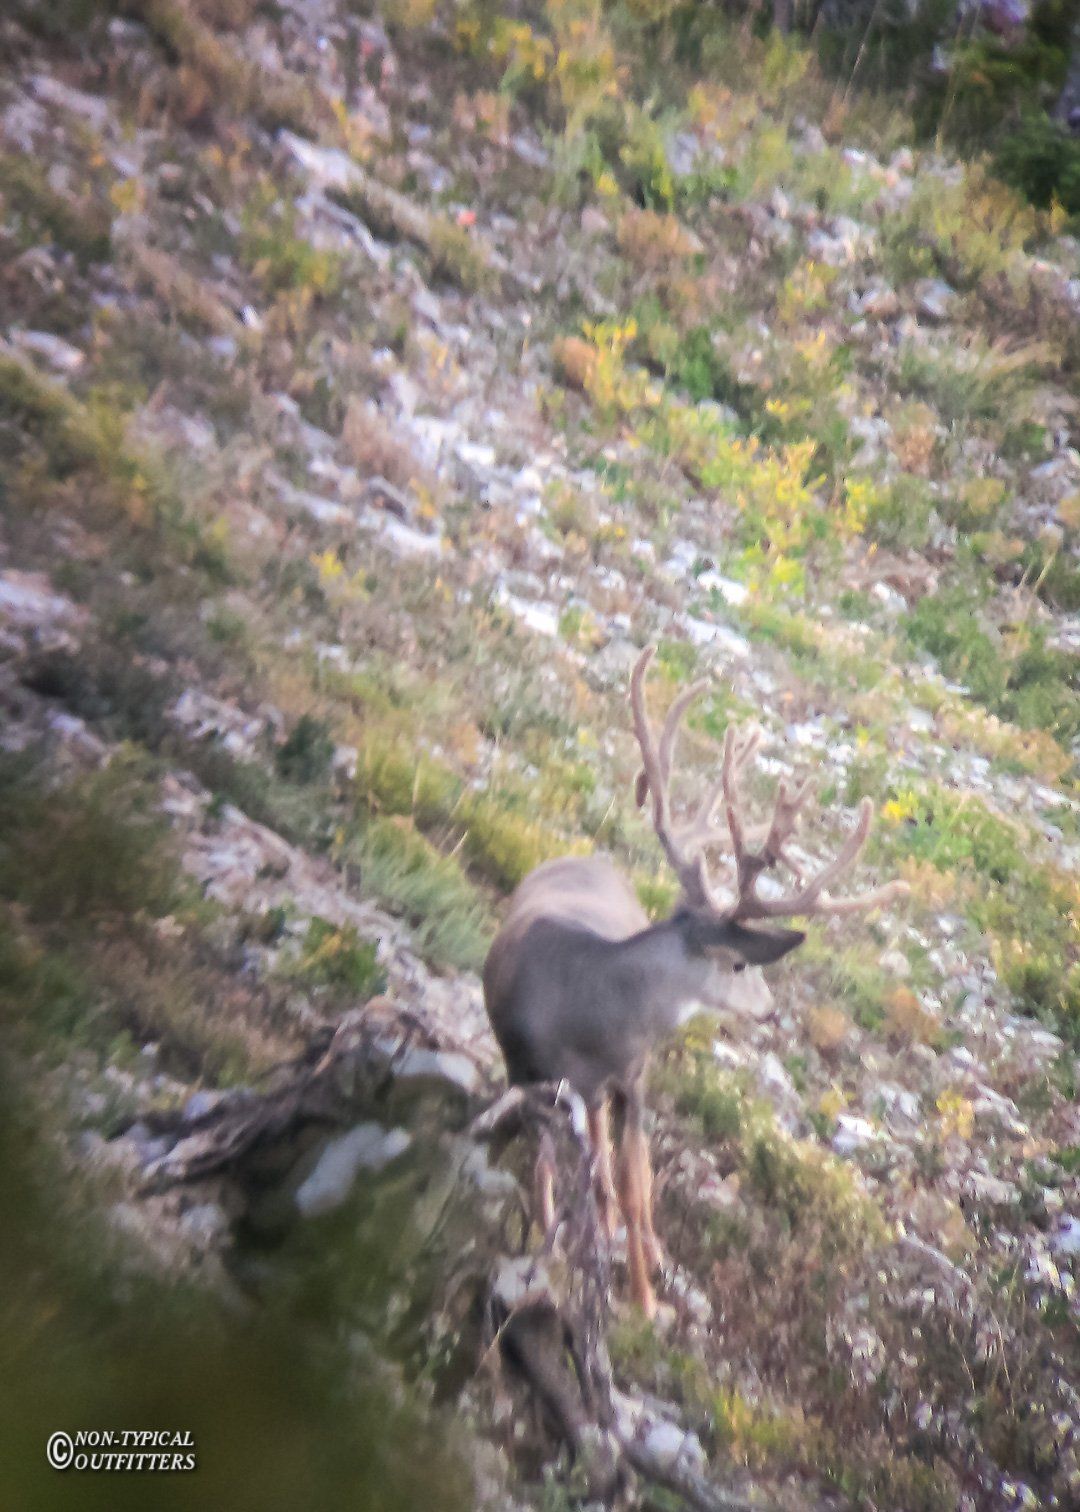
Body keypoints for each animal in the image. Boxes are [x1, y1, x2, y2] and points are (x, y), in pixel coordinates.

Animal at [483, 646, 907, 1318]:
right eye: (740, 964)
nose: (770, 1010)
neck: (587, 1010)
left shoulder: (631, 1075)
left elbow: (633, 1183)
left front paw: (643, 1300)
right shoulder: (528, 1069)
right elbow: (559, 1171)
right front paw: (556, 1260)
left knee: (628, 1168)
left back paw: (648, 1248)